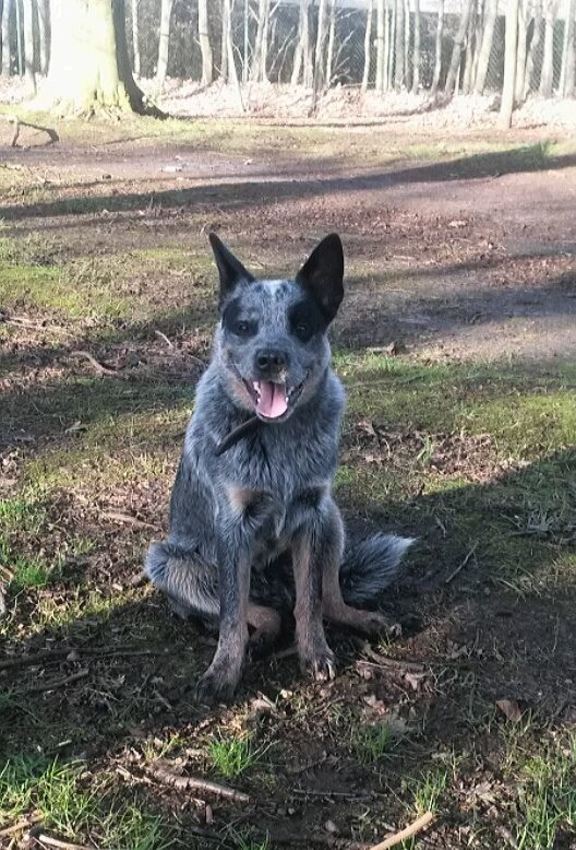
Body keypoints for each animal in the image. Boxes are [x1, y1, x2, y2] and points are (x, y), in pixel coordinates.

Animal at [145, 233, 413, 703]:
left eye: (302, 325)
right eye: (244, 326)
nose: (271, 358)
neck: (276, 437)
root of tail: (276, 584)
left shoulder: (310, 514)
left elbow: (311, 602)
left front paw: (315, 653)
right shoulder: (232, 527)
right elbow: (233, 615)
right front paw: (223, 672)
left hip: (332, 520)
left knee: (326, 599)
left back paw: (365, 618)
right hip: (170, 562)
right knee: (258, 611)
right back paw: (258, 639)